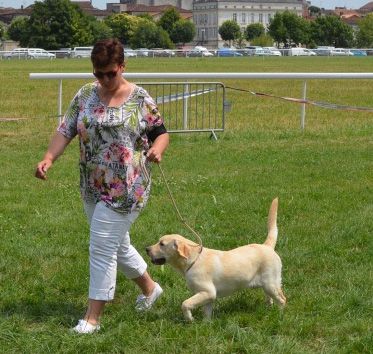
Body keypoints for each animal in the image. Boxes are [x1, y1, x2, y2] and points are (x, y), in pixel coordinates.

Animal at [145, 198, 284, 322]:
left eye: (162, 244)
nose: (146, 249)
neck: (193, 261)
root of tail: (267, 246)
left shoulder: (208, 292)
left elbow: (185, 303)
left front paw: (189, 319)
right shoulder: (208, 296)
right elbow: (206, 312)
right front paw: (206, 324)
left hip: (271, 284)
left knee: (282, 299)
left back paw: (279, 314)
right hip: (266, 286)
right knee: (270, 297)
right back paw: (269, 308)